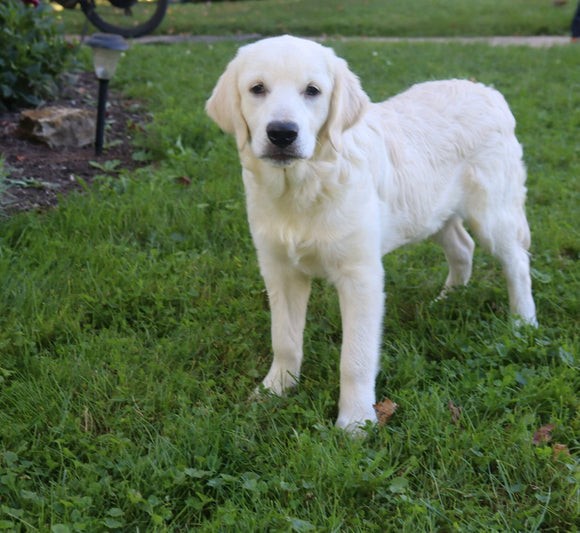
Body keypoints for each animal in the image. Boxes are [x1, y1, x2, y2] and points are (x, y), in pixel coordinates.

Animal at [206, 35, 536, 430]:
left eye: (312, 91)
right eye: (257, 88)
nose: (282, 133)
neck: (303, 185)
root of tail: (486, 90)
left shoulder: (360, 275)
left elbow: (356, 358)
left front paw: (355, 422)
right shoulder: (279, 269)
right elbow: (284, 340)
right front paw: (274, 391)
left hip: (492, 212)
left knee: (516, 261)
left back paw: (523, 323)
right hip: (429, 209)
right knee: (462, 246)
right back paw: (447, 299)